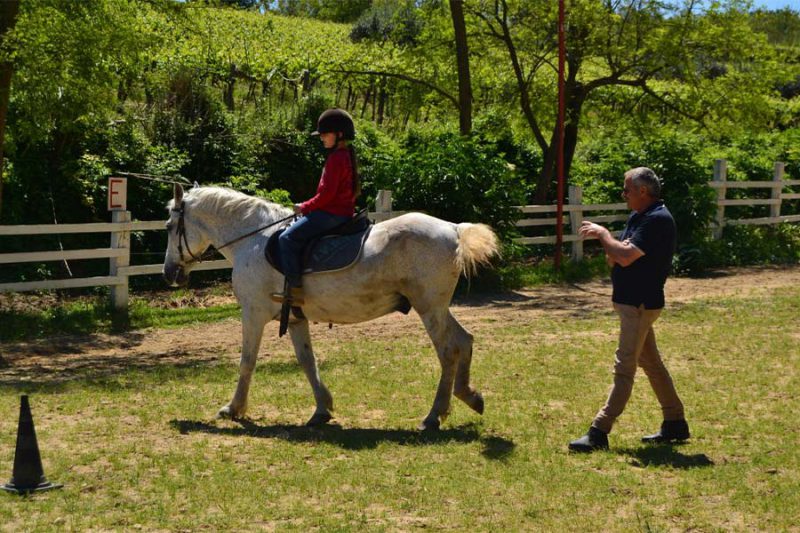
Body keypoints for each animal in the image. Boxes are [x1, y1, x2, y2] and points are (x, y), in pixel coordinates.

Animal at [162, 185, 500, 430]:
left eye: (169, 226)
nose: (169, 273)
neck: (254, 239)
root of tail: (454, 229)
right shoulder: (294, 318)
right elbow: (307, 362)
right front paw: (322, 409)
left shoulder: (253, 314)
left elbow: (247, 361)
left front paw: (234, 408)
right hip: (437, 308)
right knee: (464, 341)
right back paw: (470, 397)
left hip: (429, 308)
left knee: (448, 351)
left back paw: (434, 415)